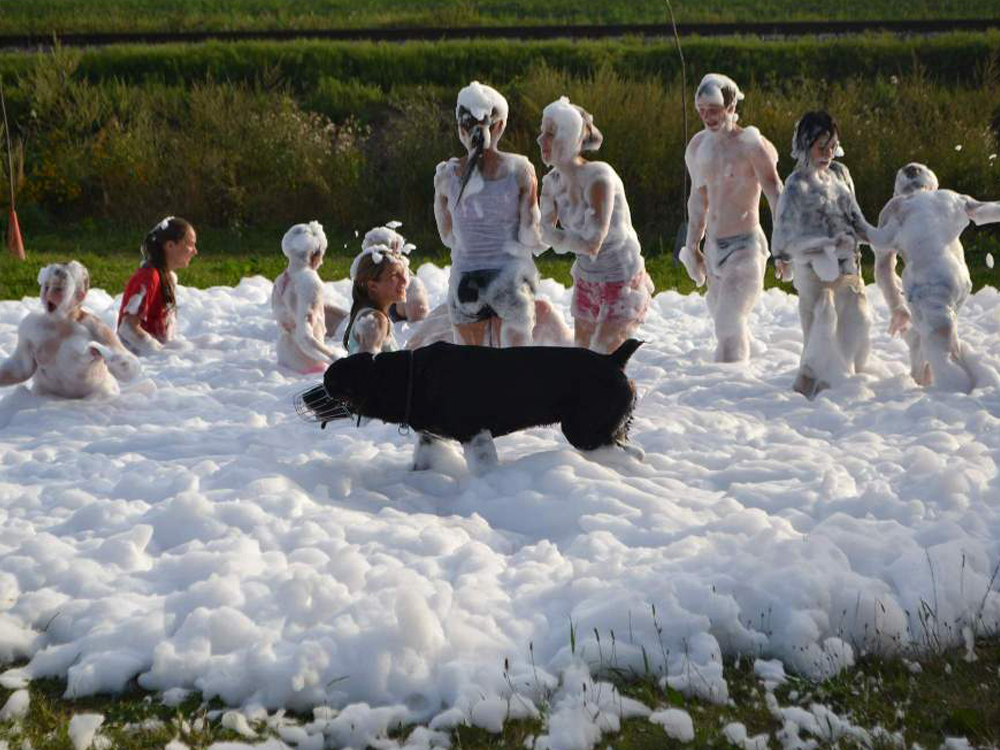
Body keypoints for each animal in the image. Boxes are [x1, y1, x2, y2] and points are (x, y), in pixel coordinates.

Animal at [300, 340, 644, 470]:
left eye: (330, 383)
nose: (305, 397)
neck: (407, 377)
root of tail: (614, 358)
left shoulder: (475, 434)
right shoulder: (431, 436)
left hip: (584, 430)